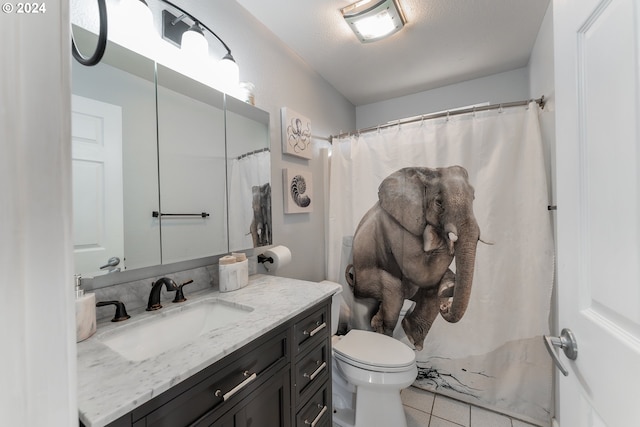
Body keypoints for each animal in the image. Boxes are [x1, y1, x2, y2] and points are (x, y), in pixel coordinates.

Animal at [344, 166, 480, 352]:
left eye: (473, 198)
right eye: (439, 202)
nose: (446, 307)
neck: (425, 174)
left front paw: (448, 285)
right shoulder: (396, 224)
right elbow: (418, 270)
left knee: (430, 291)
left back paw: (411, 335)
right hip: (365, 283)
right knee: (394, 294)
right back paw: (383, 333)